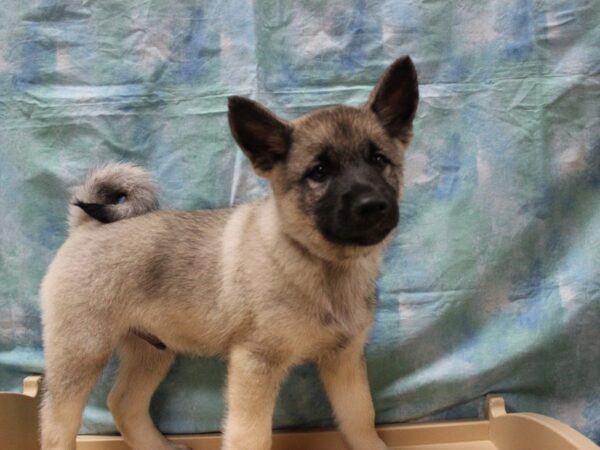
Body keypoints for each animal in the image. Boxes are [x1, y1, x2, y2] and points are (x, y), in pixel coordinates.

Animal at [39, 56, 420, 450]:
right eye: (319, 172)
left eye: (378, 160)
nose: (372, 205)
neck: (321, 262)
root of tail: (86, 226)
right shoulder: (255, 364)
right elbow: (252, 434)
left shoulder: (343, 362)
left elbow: (361, 418)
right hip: (81, 353)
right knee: (58, 422)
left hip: (152, 351)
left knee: (124, 403)